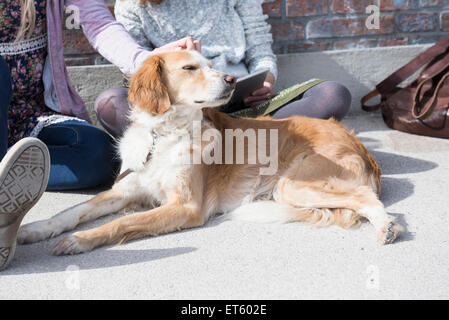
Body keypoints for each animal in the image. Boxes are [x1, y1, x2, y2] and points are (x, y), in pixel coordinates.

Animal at [16, 50, 402, 255]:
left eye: (211, 64)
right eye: (190, 67)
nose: (231, 80)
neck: (164, 134)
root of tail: (357, 141)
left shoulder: (186, 206)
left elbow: (121, 223)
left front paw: (79, 241)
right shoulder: (126, 190)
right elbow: (71, 212)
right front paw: (34, 229)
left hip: (292, 184)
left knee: (366, 198)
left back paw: (386, 227)